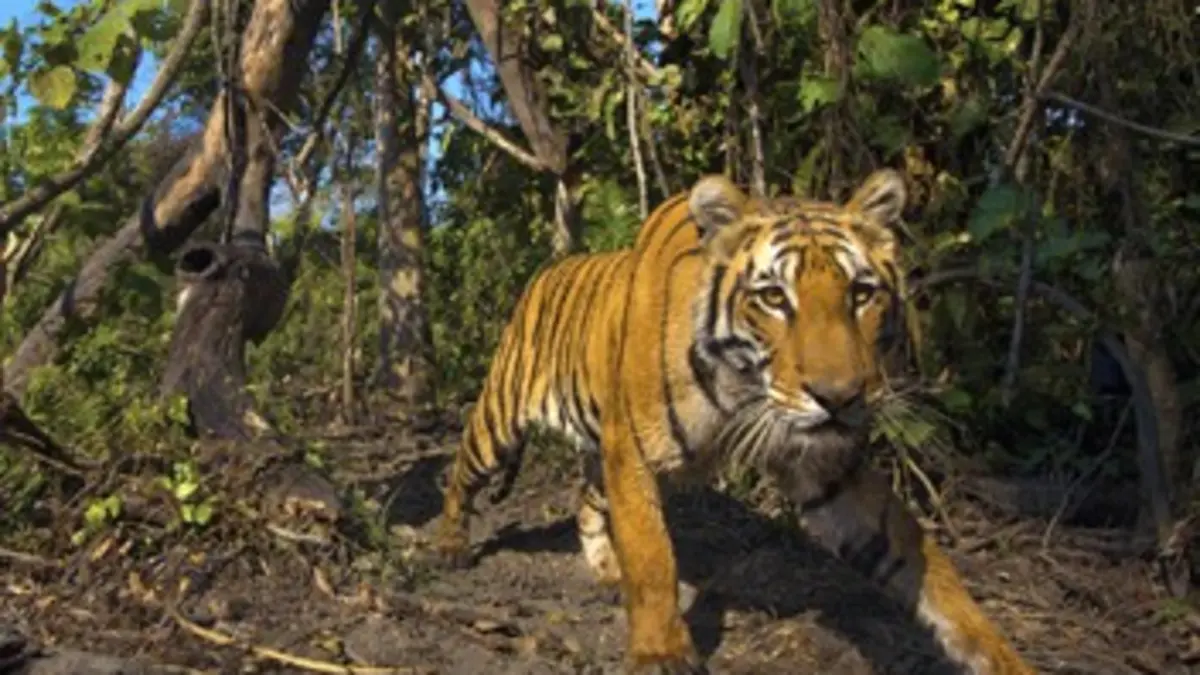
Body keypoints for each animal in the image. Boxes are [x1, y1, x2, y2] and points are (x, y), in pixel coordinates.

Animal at [432, 170, 1034, 674]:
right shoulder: (634, 453)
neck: (744, 391)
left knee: (586, 500)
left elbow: (922, 562)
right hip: (503, 417)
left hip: (595, 449)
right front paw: (661, 654)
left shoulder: (827, 468)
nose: (839, 397)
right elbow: (652, 558)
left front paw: (998, 653)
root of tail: (547, 269)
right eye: (773, 298)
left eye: (862, 293)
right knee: (461, 468)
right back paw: (451, 545)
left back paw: (605, 572)